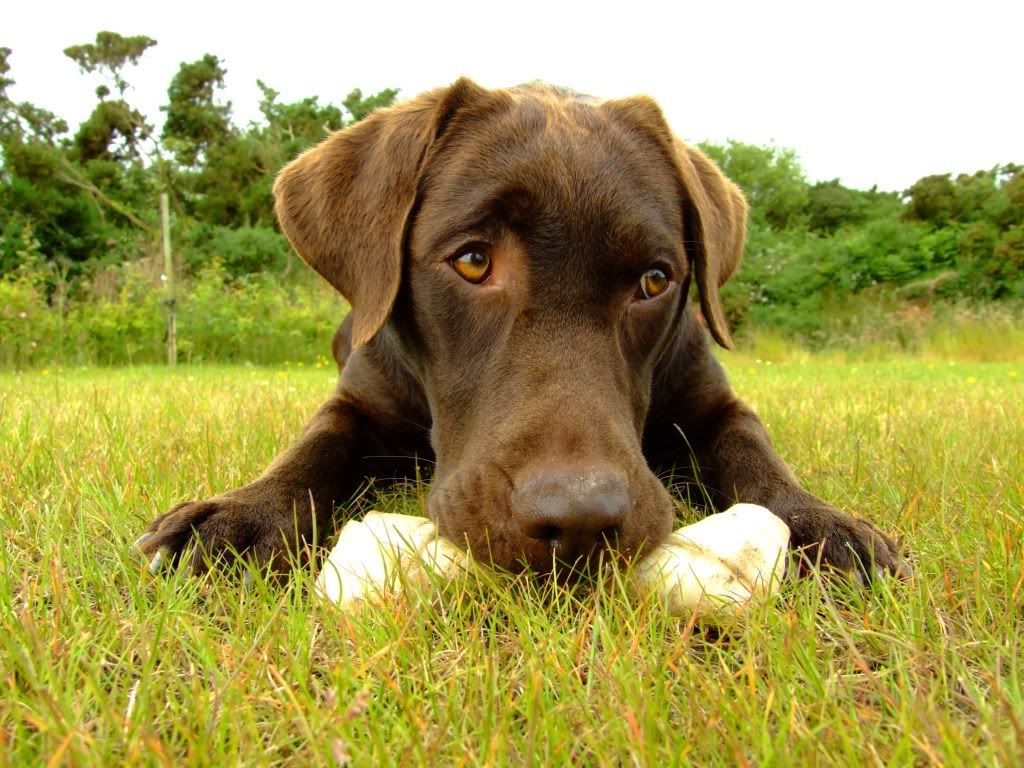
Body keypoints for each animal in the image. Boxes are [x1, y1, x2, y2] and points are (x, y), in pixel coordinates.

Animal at [140, 79, 909, 581]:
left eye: (654, 280)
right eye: (474, 261)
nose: (579, 522)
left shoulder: (712, 401)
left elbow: (754, 451)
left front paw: (819, 524)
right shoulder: (356, 400)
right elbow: (312, 449)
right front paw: (242, 516)